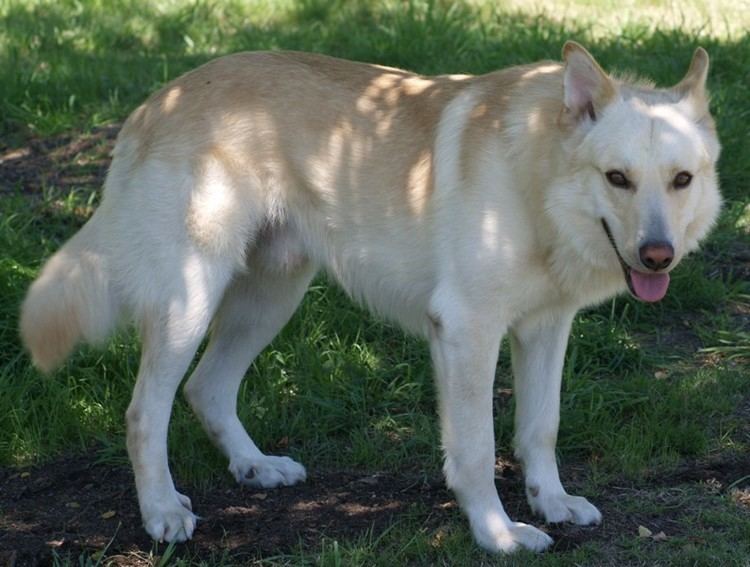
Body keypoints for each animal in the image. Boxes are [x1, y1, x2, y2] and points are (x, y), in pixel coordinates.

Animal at [19, 43, 724, 556]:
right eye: (617, 178)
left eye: (682, 180)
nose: (658, 255)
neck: (536, 178)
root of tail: (158, 100)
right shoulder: (467, 333)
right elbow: (475, 450)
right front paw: (498, 534)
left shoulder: (546, 329)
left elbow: (539, 428)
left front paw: (552, 502)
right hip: (192, 302)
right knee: (146, 412)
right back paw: (162, 511)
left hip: (270, 298)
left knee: (207, 389)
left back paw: (254, 467)